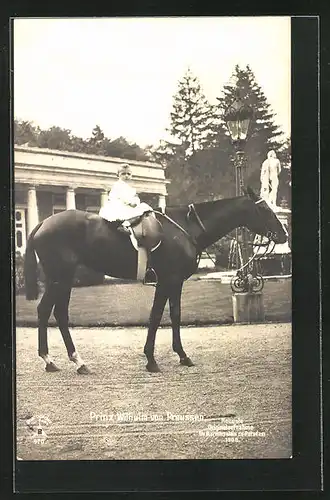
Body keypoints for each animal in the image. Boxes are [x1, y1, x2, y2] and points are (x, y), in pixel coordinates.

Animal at [23, 188, 286, 376]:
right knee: (50, 311)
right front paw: (151, 359)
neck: (186, 227)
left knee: (53, 312)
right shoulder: (168, 280)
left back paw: (63, 360)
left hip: (62, 280)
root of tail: (42, 223)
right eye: (265, 210)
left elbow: (175, 314)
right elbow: (157, 316)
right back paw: (65, 360)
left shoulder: (175, 283)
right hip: (61, 278)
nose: (283, 234)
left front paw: (181, 355)